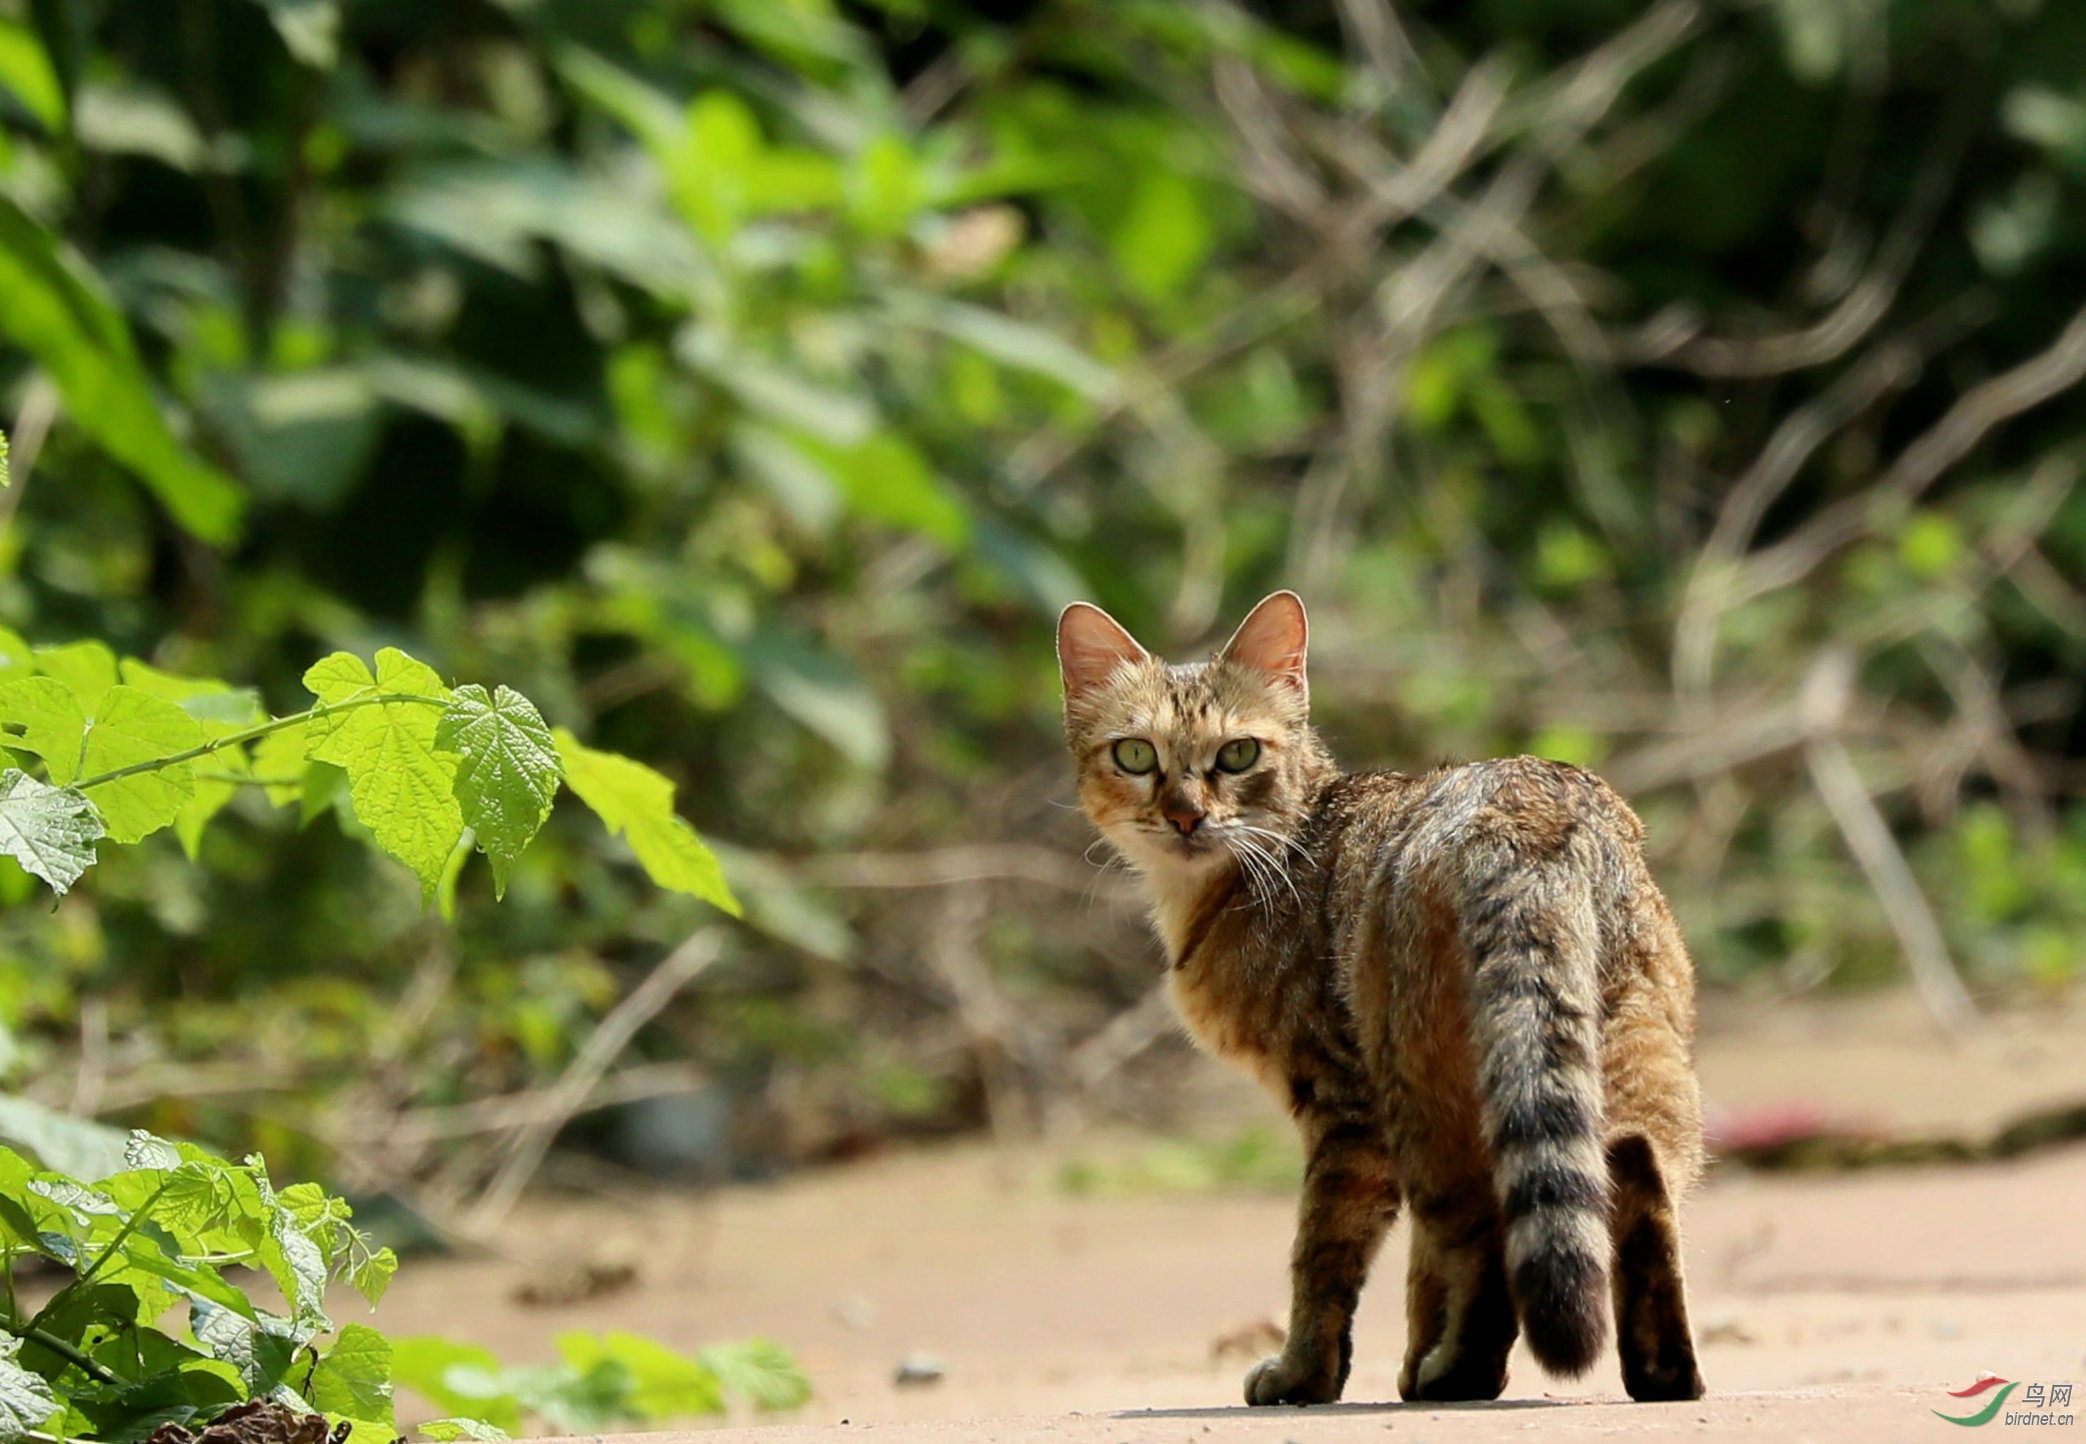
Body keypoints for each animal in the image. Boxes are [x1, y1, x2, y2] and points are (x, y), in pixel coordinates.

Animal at [1051, 584, 1702, 1402]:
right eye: (1136, 754)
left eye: (1238, 754)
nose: (1186, 815)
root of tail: (1524, 807)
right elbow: (1423, 1278)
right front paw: (1413, 1358)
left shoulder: (1345, 1110)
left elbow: (1323, 1258)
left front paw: (1306, 1372)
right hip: (1627, 1047)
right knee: (1635, 1171)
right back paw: (1661, 1371)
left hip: (1421, 1087)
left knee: (1486, 1235)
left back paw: (1463, 1372)